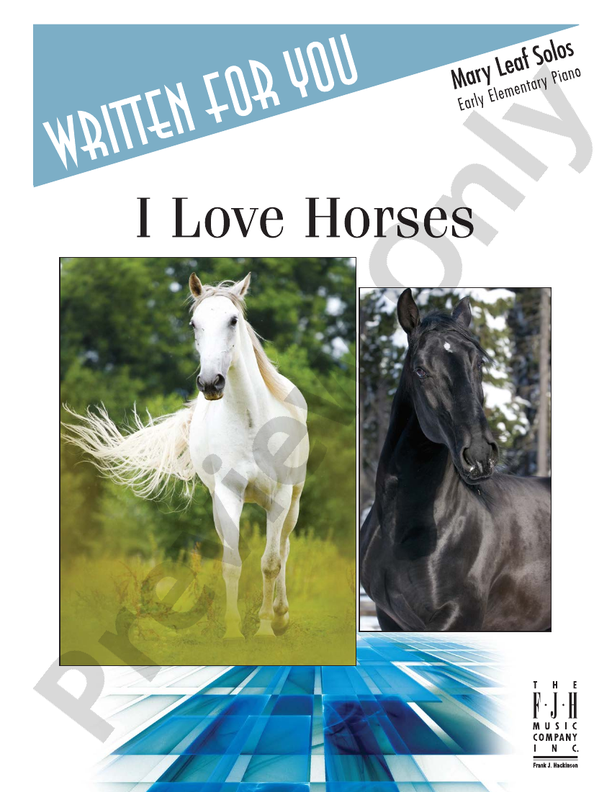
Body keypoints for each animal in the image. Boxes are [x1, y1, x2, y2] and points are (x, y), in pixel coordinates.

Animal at [63, 273, 309, 639]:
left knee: (284, 546)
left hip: (291, 500)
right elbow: (232, 563)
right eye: (195, 323)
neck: (251, 422)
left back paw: (281, 616)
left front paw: (266, 628)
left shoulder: (279, 496)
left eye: (233, 320)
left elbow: (270, 562)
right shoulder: (227, 495)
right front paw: (233, 631)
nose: (210, 383)